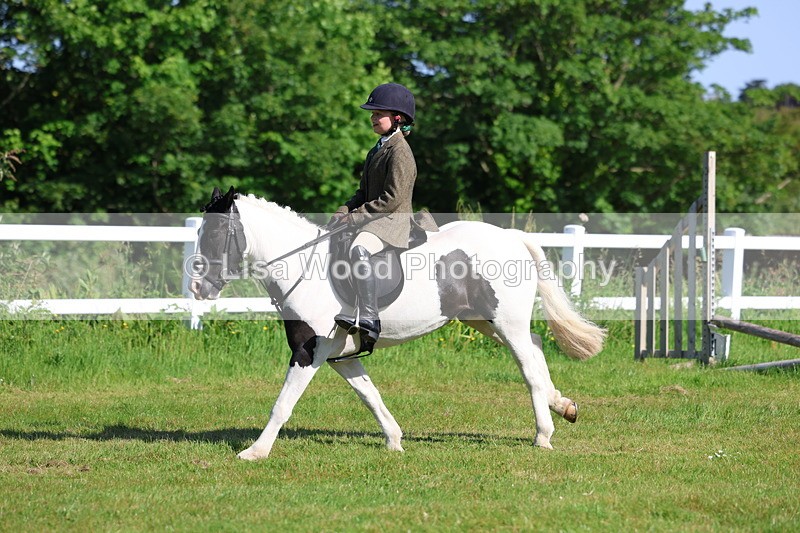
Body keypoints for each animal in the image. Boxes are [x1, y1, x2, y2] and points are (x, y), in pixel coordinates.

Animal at [189, 187, 605, 460]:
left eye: (215, 232)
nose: (198, 288)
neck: (304, 268)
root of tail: (513, 238)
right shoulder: (341, 354)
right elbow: (369, 395)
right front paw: (394, 440)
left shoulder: (309, 351)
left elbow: (283, 404)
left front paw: (255, 452)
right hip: (486, 320)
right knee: (535, 346)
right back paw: (562, 406)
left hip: (506, 322)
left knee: (528, 367)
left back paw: (543, 434)